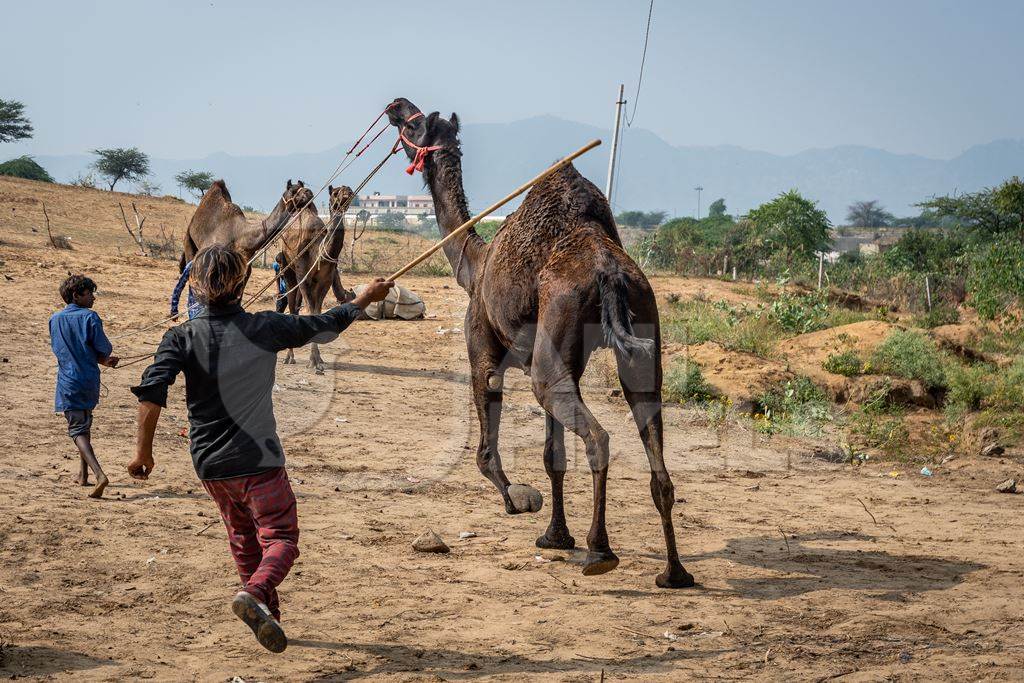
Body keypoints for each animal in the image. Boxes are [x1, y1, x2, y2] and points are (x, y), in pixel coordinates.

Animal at [278, 184, 358, 370]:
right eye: (335, 193)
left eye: (349, 190)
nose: (347, 192)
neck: (319, 252)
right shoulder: (303, 276)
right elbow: (310, 312)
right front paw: (313, 362)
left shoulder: (325, 281)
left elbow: (317, 312)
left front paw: (317, 360)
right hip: (288, 268)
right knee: (292, 305)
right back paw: (289, 357)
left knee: (297, 306)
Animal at [385, 98, 696, 589]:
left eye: (416, 124)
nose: (395, 108)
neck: (474, 265)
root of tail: (608, 271)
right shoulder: (562, 358)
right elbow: (554, 455)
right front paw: (555, 536)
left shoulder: (483, 350)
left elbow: (486, 454)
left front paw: (519, 501)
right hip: (640, 323)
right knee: (649, 423)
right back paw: (674, 571)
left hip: (556, 338)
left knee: (596, 435)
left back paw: (600, 551)